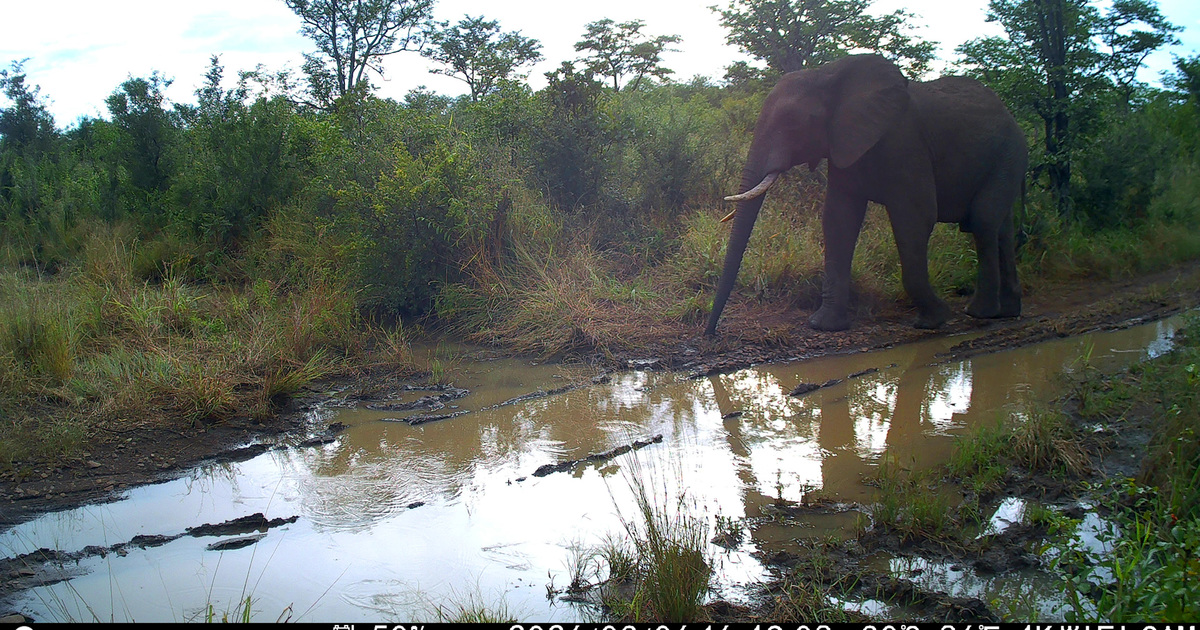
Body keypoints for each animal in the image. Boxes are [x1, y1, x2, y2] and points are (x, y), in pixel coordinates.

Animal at [704, 54, 1028, 336]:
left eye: (792, 123)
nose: (710, 333)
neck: (827, 73)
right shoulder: (845, 142)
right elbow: (838, 219)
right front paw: (824, 326)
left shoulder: (906, 143)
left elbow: (914, 219)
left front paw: (933, 321)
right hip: (1006, 158)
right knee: (1000, 226)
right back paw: (1008, 311)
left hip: (1008, 153)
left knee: (983, 222)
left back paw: (980, 312)